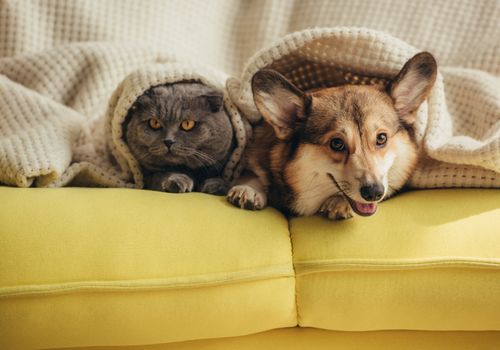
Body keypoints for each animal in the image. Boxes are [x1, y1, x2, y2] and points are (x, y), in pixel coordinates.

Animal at [229, 52, 436, 219]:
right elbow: (254, 172)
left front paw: (338, 203)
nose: (374, 193)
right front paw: (249, 189)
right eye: (336, 143)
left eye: (381, 138)